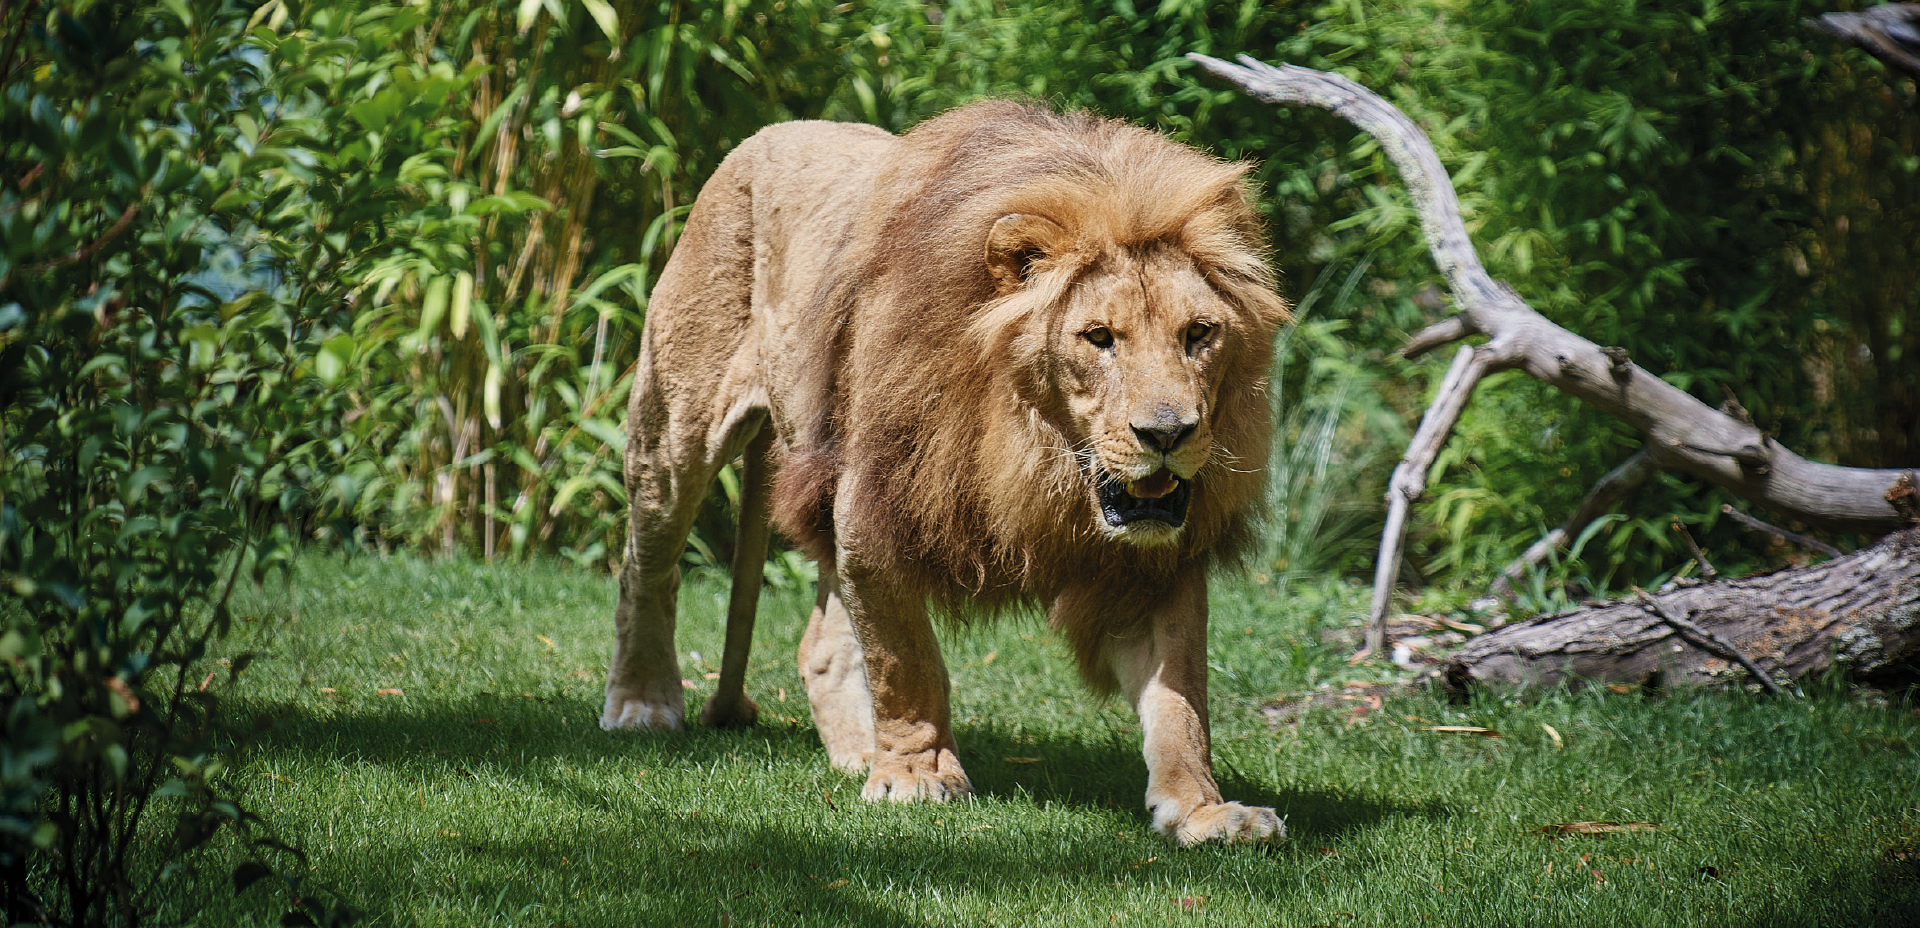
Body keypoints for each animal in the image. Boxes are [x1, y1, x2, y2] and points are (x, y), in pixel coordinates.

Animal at [599, 97, 1290, 845]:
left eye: (1199, 334)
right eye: (1099, 338)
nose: (1166, 433)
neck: (1033, 458)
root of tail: (769, 132)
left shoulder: (1155, 562)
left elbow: (1181, 699)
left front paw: (1204, 810)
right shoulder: (874, 507)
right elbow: (906, 663)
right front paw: (916, 777)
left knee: (821, 639)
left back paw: (854, 748)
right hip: (675, 430)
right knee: (647, 567)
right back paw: (641, 702)